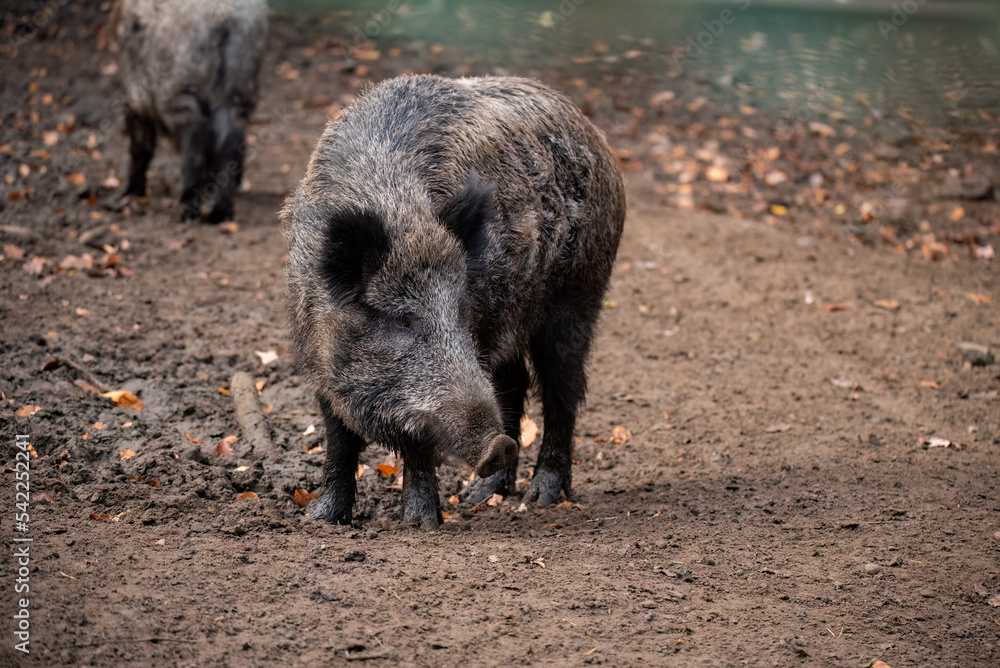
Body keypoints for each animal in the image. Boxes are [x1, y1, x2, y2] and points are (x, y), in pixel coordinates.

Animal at [110, 0, 268, 222]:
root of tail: (224, 18)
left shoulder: (134, 94)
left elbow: (140, 145)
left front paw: (130, 192)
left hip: (176, 88)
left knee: (195, 139)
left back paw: (187, 207)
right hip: (239, 84)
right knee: (230, 143)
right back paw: (217, 211)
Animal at [281, 75, 625, 529]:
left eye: (459, 310)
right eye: (404, 319)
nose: (496, 446)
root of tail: (596, 135)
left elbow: (417, 443)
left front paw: (422, 523)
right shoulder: (317, 357)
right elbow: (338, 438)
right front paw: (320, 519)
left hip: (580, 294)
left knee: (563, 390)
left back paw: (541, 498)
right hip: (506, 323)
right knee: (514, 383)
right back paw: (479, 495)